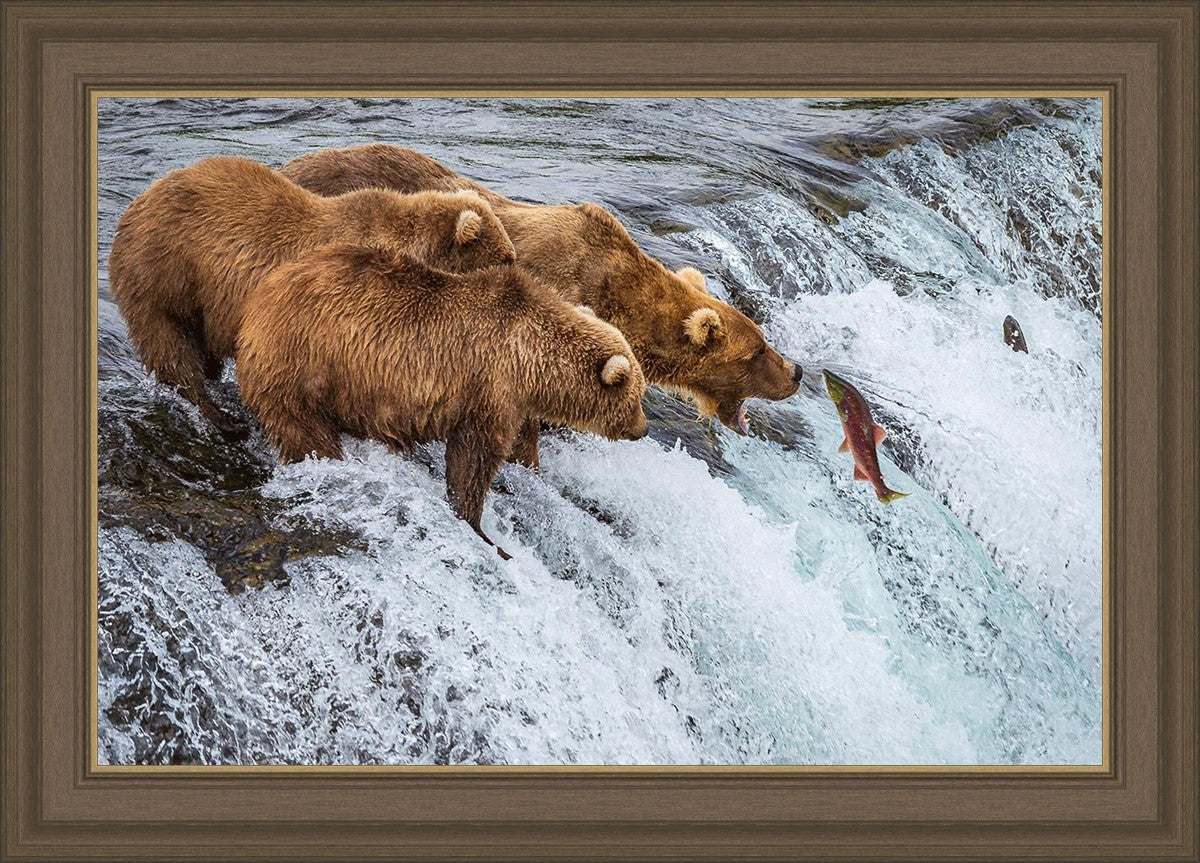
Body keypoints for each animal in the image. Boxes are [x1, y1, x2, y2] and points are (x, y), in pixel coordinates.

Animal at [108, 155, 516, 440]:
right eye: (506, 257)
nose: (518, 274)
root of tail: (136, 203)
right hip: (165, 274)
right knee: (171, 347)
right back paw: (222, 418)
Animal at [236, 241, 648, 559]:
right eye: (636, 397)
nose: (643, 429)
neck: (531, 360)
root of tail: (259, 298)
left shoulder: (515, 401)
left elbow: (520, 445)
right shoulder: (488, 386)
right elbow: (473, 458)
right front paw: (482, 530)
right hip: (303, 363)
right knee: (305, 430)